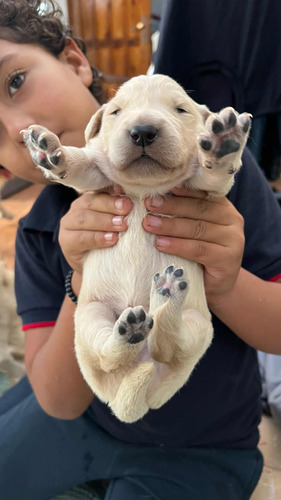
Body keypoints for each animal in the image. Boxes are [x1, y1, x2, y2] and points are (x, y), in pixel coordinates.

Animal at [21, 73, 249, 422]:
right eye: (116, 112)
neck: (145, 188)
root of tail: (129, 398)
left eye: (181, 109)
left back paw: (165, 296)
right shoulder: (98, 174)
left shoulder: (204, 187)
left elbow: (214, 176)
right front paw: (50, 151)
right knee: (108, 355)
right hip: (89, 316)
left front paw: (224, 144)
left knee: (170, 346)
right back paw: (131, 331)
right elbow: (80, 164)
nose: (142, 131)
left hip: (199, 325)